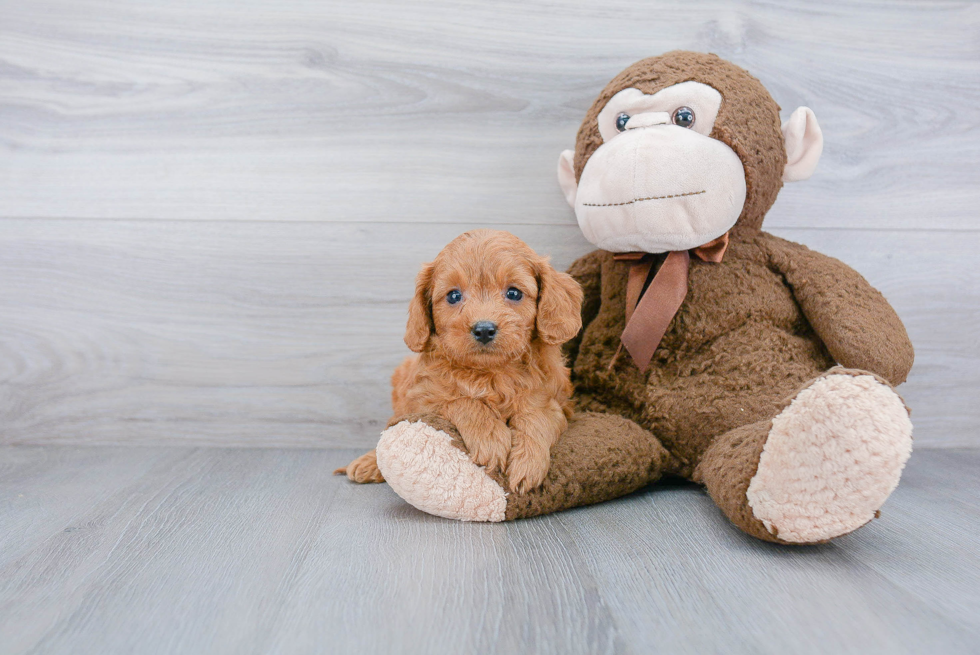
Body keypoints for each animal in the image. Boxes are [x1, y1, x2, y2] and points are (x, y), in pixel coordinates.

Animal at [336, 229, 580, 492]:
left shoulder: (558, 403)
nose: (483, 329)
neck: (490, 373)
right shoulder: (421, 399)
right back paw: (368, 462)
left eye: (514, 293)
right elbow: (461, 401)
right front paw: (490, 438)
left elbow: (537, 415)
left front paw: (528, 461)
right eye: (454, 295)